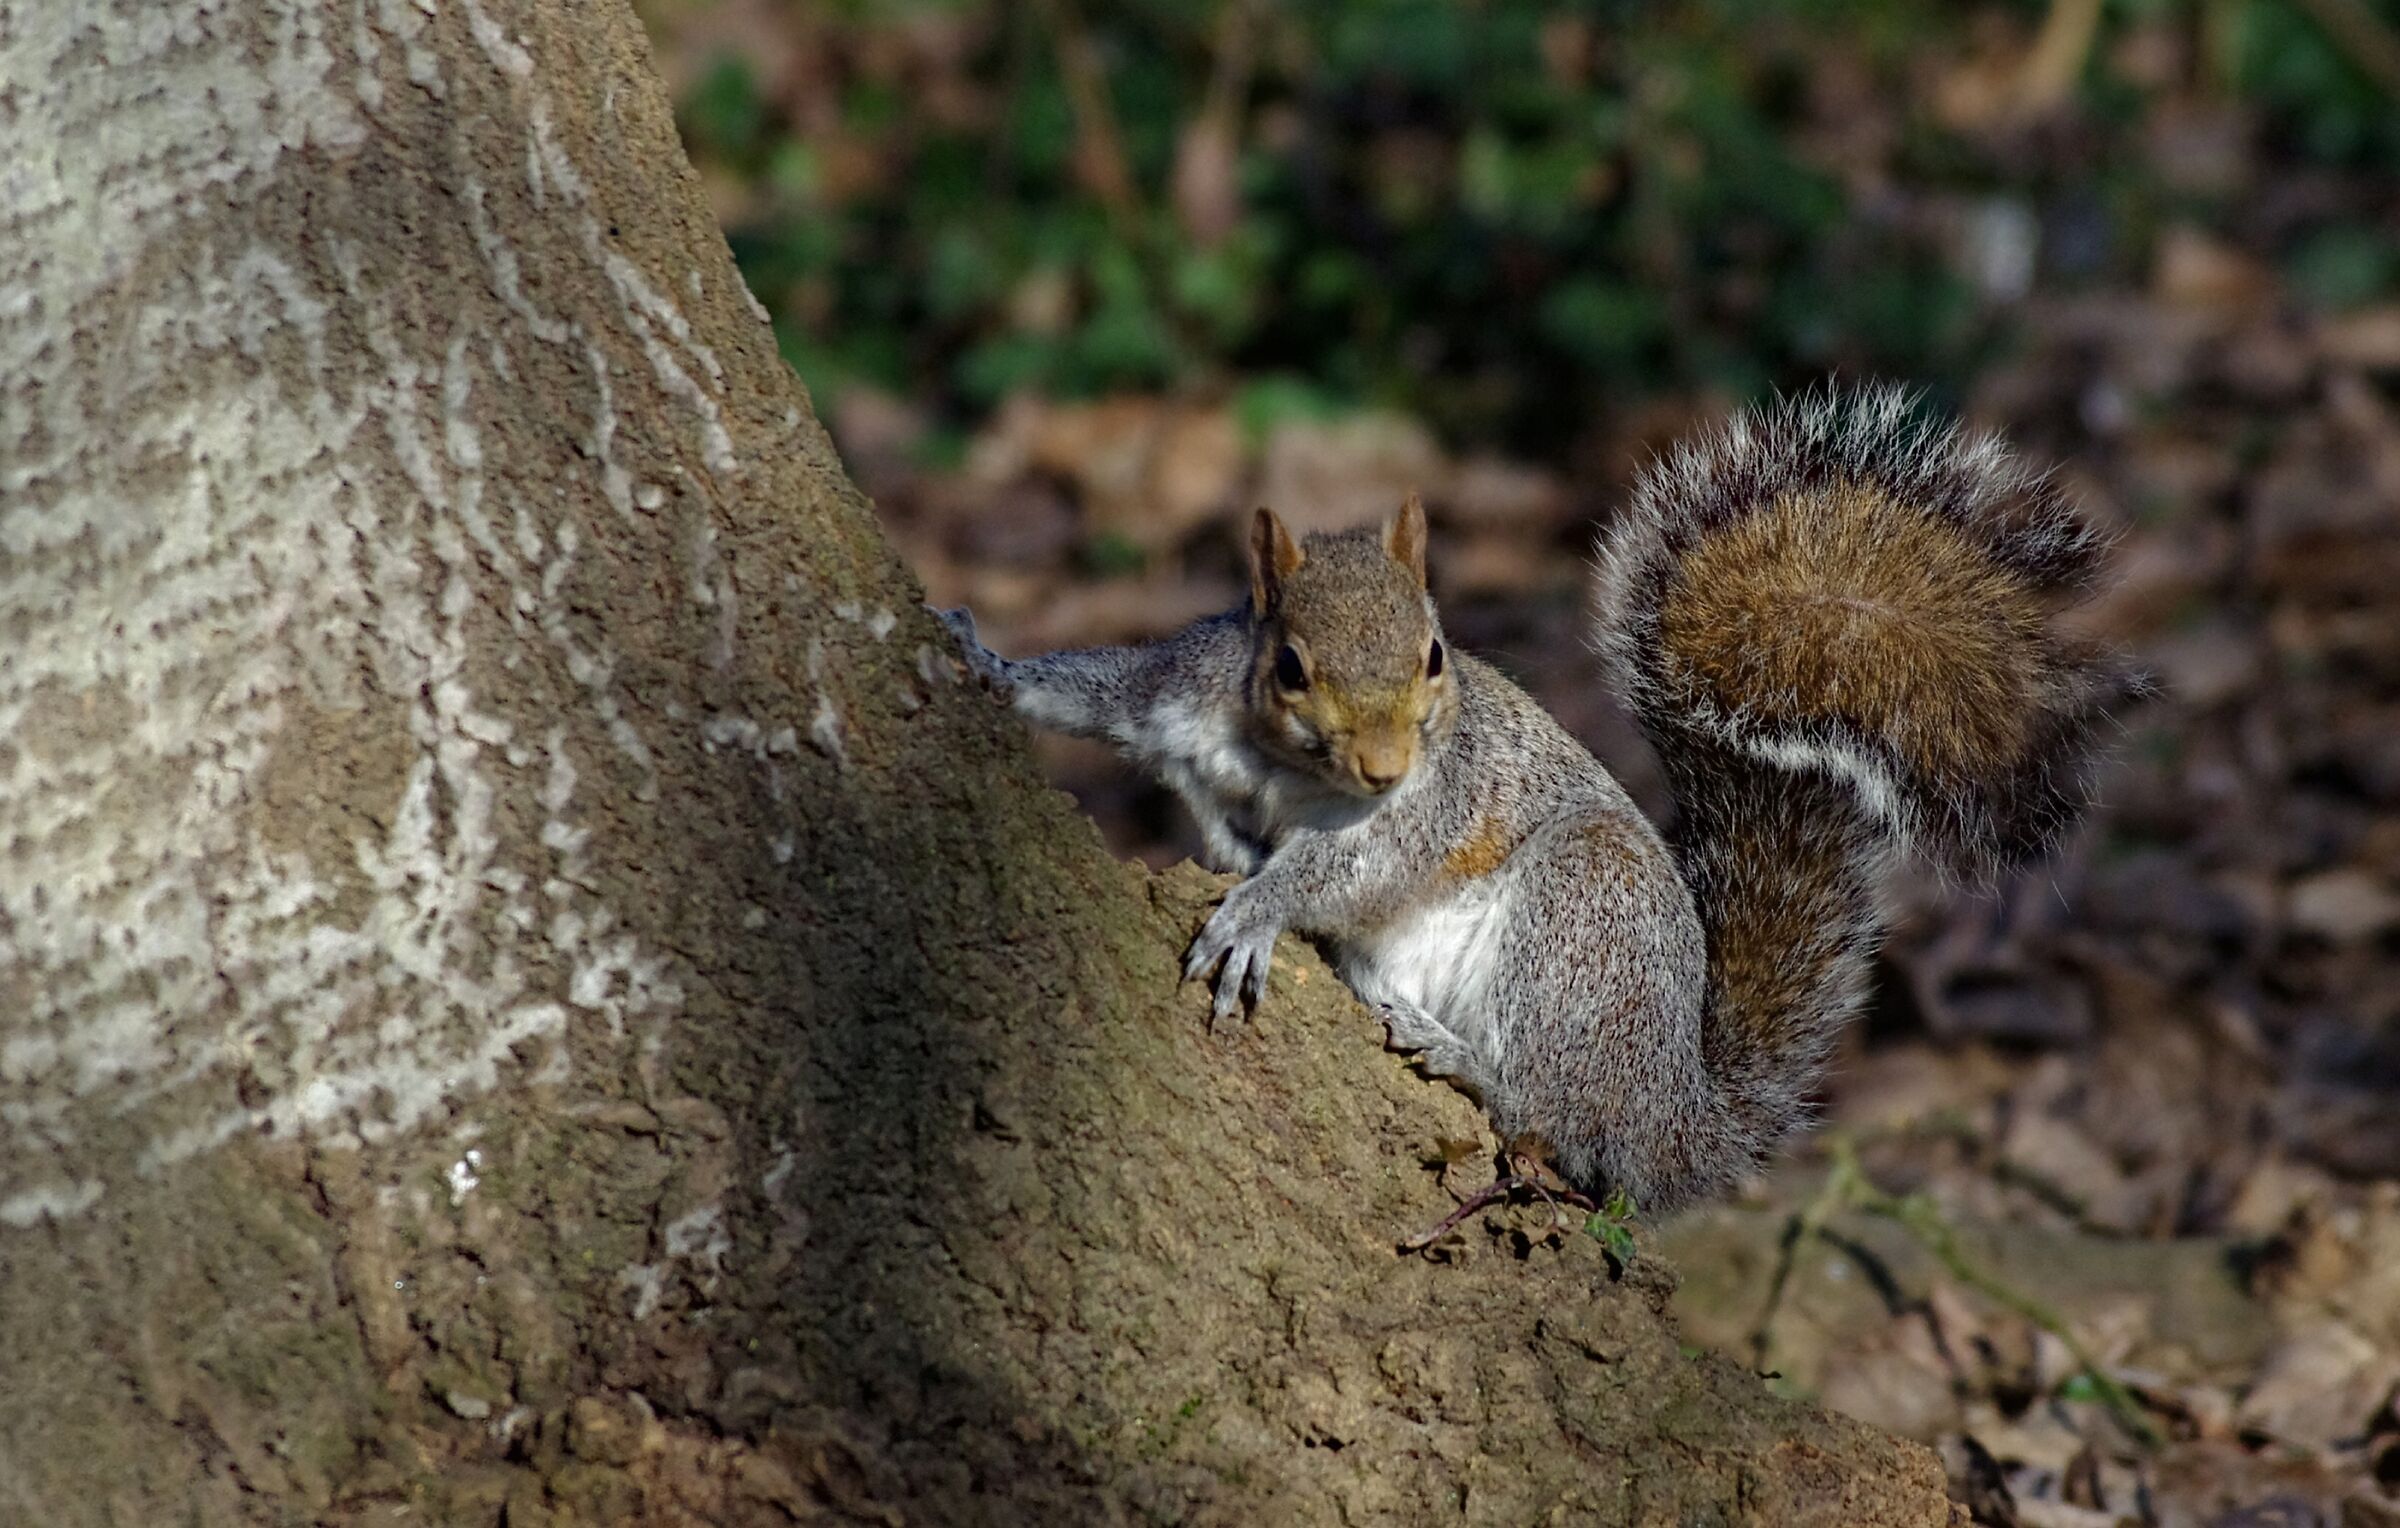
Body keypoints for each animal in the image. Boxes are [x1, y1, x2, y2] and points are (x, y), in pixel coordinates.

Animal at [937, 386, 2136, 1214]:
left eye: (1434, 654)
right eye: (1288, 665)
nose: (1384, 766)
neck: (1294, 770)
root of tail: (1676, 1109)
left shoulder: (1432, 801)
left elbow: (1347, 864)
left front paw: (1254, 912)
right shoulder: (1187, 694)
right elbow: (1103, 695)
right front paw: (980, 659)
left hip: (1582, 918)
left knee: (1554, 1116)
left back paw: (1469, 1059)